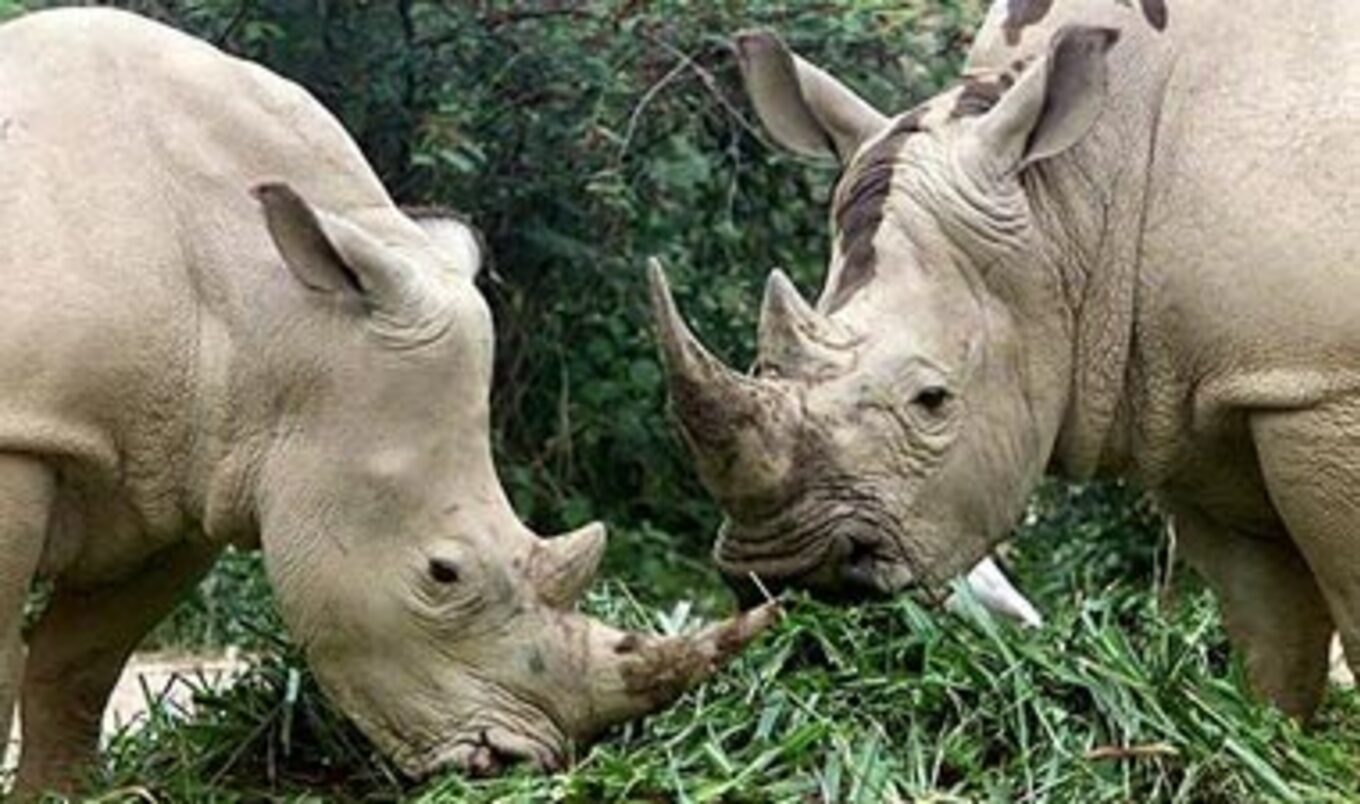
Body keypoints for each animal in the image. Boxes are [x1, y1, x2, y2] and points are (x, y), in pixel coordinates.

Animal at [0, 8, 777, 794]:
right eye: (443, 573)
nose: (514, 761)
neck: (272, 313)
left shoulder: (187, 468)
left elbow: (80, 662)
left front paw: (59, 796)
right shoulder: (28, 433)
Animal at [651, 0, 1360, 720]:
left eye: (932, 400)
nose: (780, 572)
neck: (1072, 192)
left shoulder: (1322, 385)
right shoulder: (1206, 397)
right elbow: (1272, 642)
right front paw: (1269, 737)